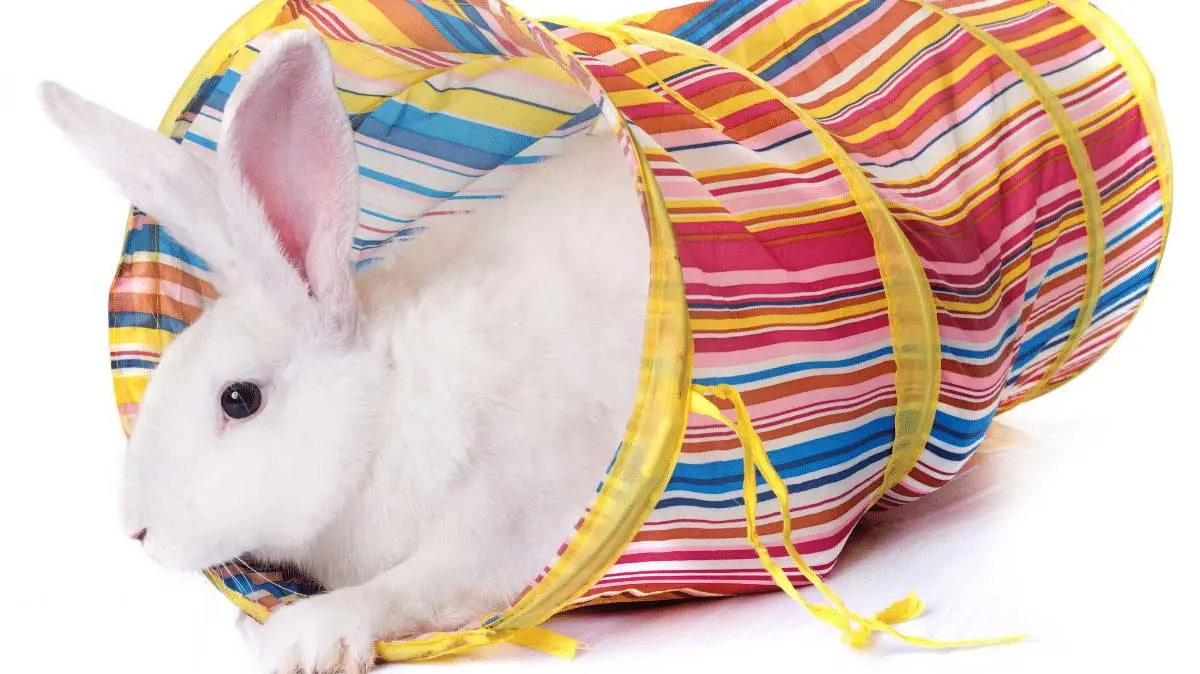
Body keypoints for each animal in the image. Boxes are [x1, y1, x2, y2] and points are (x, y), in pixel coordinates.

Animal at [39, 28, 648, 666]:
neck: (385, 405)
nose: (138, 530)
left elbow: (416, 586)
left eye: (238, 399)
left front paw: (305, 640)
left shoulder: (509, 522)